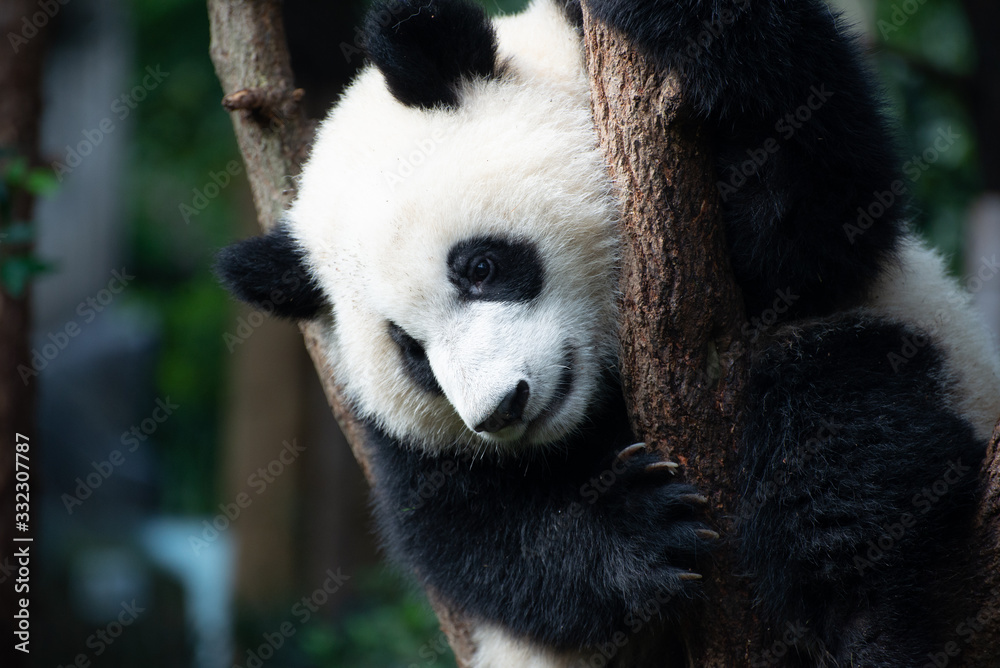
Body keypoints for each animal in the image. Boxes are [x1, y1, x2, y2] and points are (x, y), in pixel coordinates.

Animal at [216, 0, 1000, 665]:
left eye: (480, 266)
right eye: (411, 353)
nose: (502, 409)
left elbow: (813, 208)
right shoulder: (405, 441)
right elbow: (462, 528)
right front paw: (639, 532)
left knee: (842, 411)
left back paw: (859, 608)